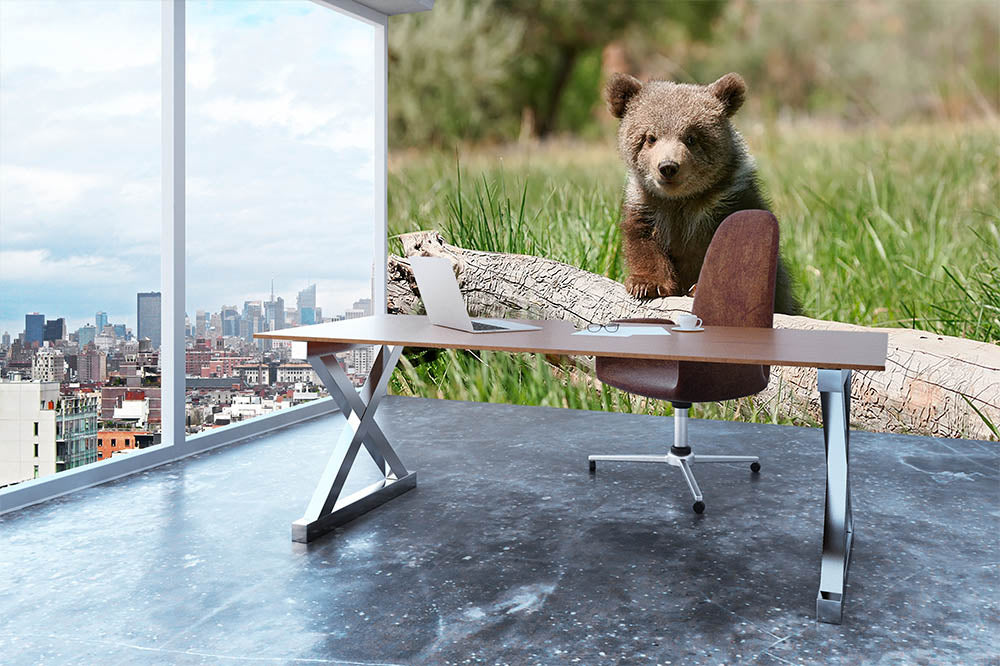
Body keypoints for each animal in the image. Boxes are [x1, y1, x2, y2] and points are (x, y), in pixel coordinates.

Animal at [605, 71, 801, 315]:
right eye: (650, 137)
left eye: (691, 137)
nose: (668, 166)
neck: (682, 200)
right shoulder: (648, 204)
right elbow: (643, 240)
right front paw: (647, 284)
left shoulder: (727, 201)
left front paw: (704, 288)